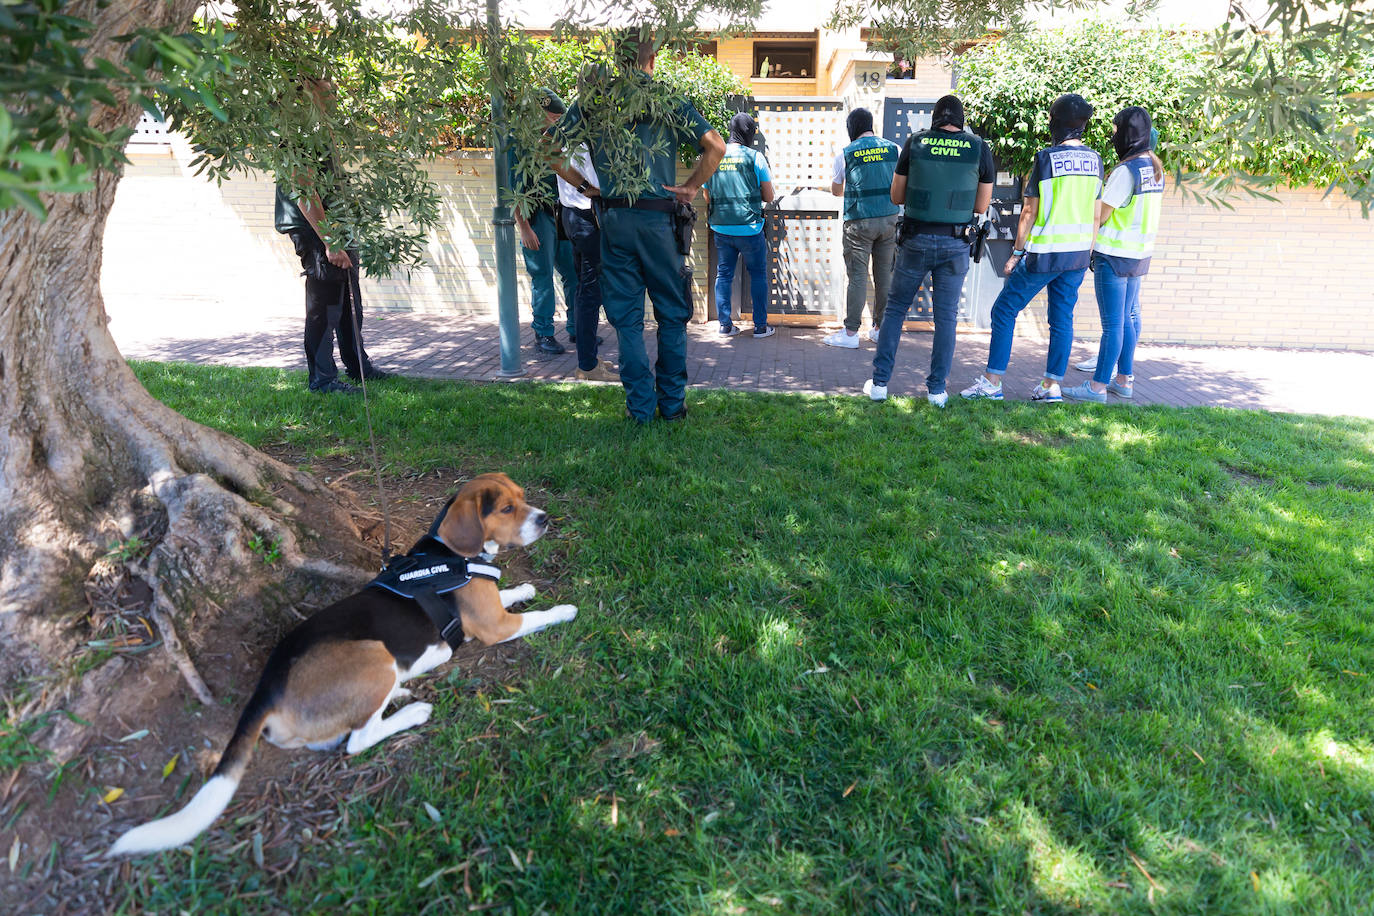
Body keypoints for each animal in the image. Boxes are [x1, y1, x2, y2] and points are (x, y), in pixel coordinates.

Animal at [108, 477, 574, 856]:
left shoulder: (492, 611)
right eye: (506, 509)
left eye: (522, 498)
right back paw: (412, 710)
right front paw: (565, 609)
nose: (545, 519)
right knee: (358, 741)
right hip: (376, 656)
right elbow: (536, 615)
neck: (452, 555)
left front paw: (524, 587)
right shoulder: (495, 626)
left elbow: (511, 594)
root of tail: (269, 684)